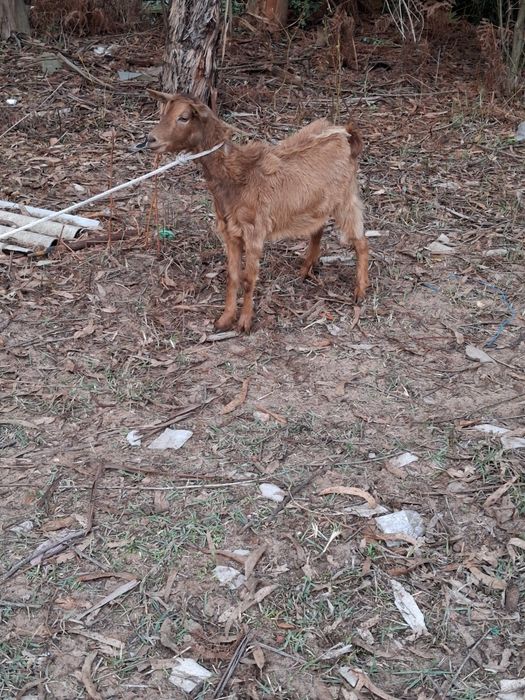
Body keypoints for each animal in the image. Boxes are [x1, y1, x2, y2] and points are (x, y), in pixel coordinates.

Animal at [140, 90, 369, 333]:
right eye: (163, 113)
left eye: (183, 117)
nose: (150, 139)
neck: (237, 176)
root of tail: (345, 134)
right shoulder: (229, 231)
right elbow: (233, 276)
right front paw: (224, 319)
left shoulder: (254, 231)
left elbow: (249, 279)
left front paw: (244, 322)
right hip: (318, 203)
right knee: (318, 229)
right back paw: (306, 270)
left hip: (345, 199)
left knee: (361, 242)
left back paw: (360, 291)